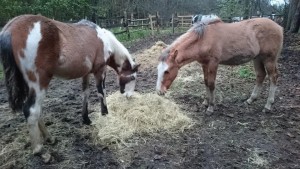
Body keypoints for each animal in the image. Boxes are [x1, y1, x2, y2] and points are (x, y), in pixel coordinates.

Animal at [0, 14, 140, 161]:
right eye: (133, 78)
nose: (129, 96)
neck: (104, 40)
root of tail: (9, 29)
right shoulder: (100, 70)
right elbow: (101, 92)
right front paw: (105, 114)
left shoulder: (86, 73)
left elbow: (86, 93)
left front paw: (86, 119)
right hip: (39, 82)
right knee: (32, 110)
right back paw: (39, 150)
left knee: (38, 110)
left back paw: (49, 138)